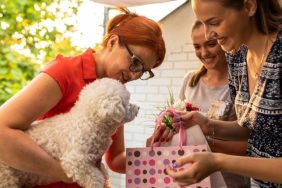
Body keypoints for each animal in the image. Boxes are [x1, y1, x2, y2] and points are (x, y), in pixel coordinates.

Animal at [0, 77, 139, 187]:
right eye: (127, 103)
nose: (138, 107)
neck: (90, 121)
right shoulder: (75, 161)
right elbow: (95, 177)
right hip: (7, 178)